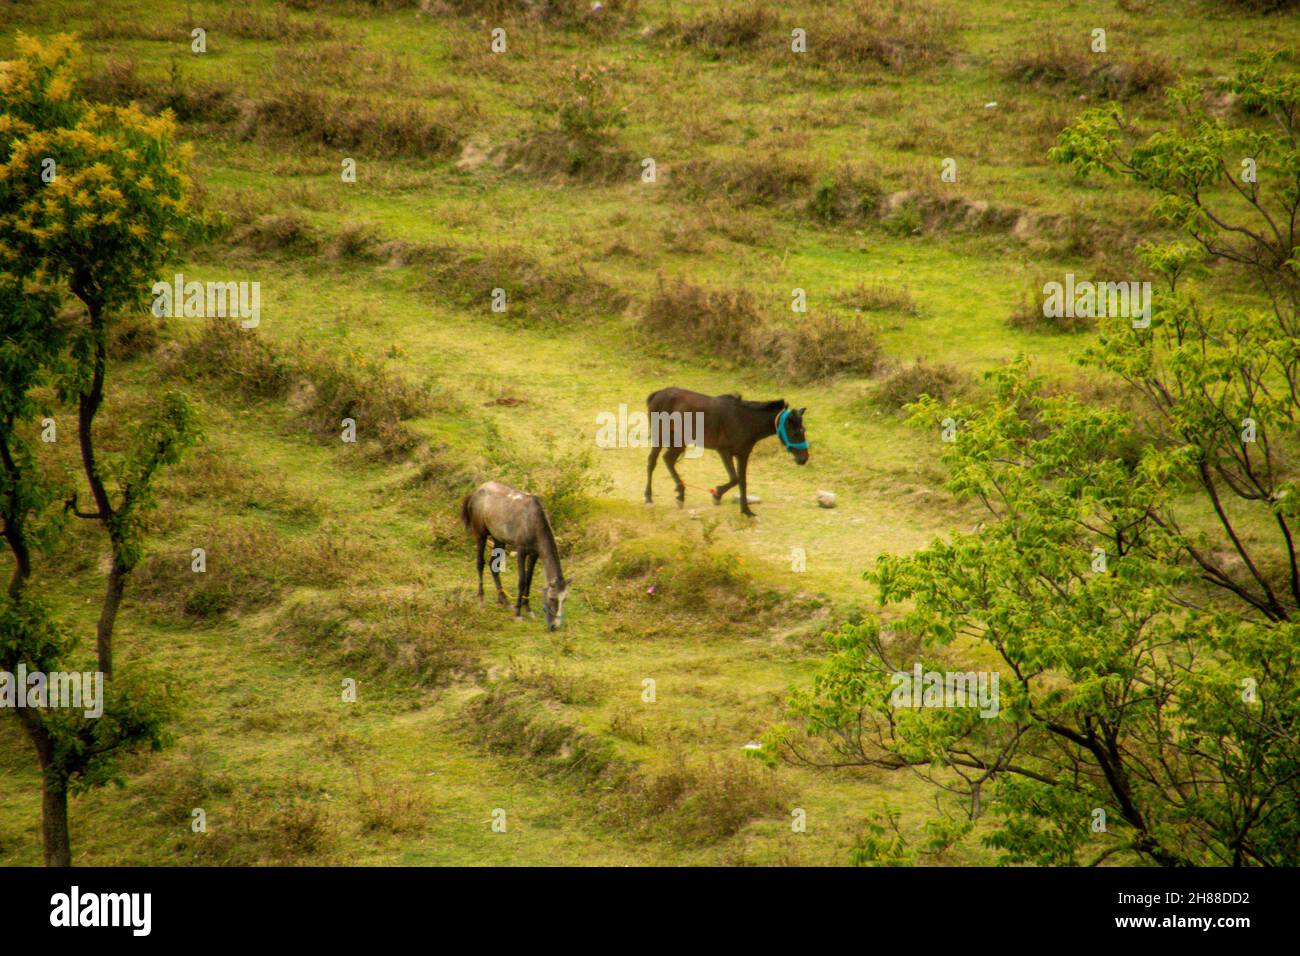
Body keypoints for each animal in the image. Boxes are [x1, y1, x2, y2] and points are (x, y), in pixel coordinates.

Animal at [460, 481, 571, 631]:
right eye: (552, 598)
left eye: (564, 599)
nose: (554, 625)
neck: (533, 522)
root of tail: (476, 492)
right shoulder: (521, 552)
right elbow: (521, 580)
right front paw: (518, 613)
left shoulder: (534, 553)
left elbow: (529, 579)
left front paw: (528, 609)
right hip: (481, 534)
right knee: (480, 564)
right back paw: (481, 599)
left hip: (498, 538)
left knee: (493, 565)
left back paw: (504, 600)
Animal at [644, 387, 809, 517]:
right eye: (795, 432)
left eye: (804, 430)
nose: (804, 459)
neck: (744, 421)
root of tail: (657, 394)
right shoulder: (724, 451)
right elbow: (734, 479)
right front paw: (716, 494)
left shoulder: (743, 455)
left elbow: (742, 482)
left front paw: (746, 511)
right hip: (660, 436)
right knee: (652, 462)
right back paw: (649, 498)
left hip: (679, 441)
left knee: (668, 460)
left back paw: (680, 495)